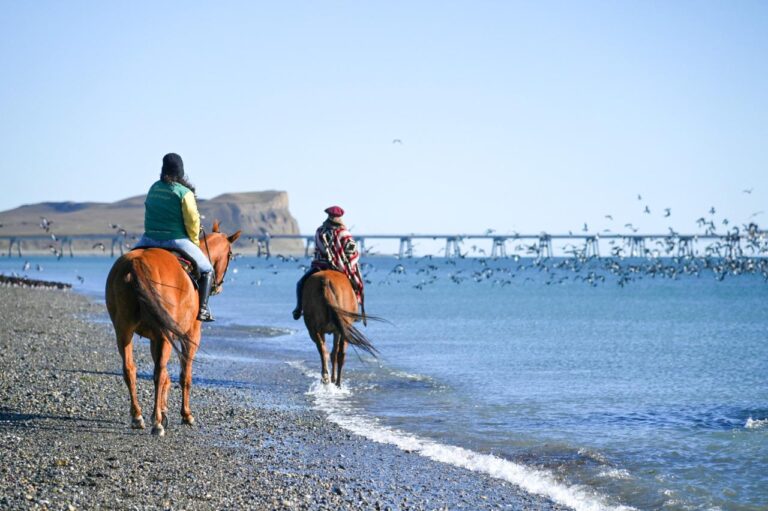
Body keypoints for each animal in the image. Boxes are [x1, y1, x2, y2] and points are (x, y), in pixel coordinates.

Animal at [103, 221, 238, 436]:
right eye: (230, 254)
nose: (219, 286)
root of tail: (135, 263)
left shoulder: (155, 338)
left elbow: (166, 376)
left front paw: (163, 410)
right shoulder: (191, 335)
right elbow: (184, 376)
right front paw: (185, 415)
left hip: (124, 332)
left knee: (130, 369)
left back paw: (138, 416)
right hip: (165, 336)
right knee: (158, 372)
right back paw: (156, 423)